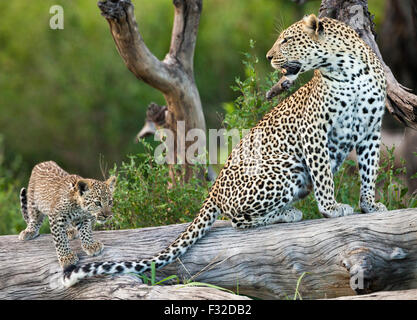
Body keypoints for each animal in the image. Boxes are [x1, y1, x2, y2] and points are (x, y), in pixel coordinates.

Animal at [61, 13, 386, 288]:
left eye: (286, 39)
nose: (268, 57)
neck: (347, 70)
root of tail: (213, 190)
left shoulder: (371, 131)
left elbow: (370, 172)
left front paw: (370, 206)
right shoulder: (313, 131)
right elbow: (324, 177)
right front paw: (332, 208)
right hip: (284, 168)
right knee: (237, 220)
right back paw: (287, 214)